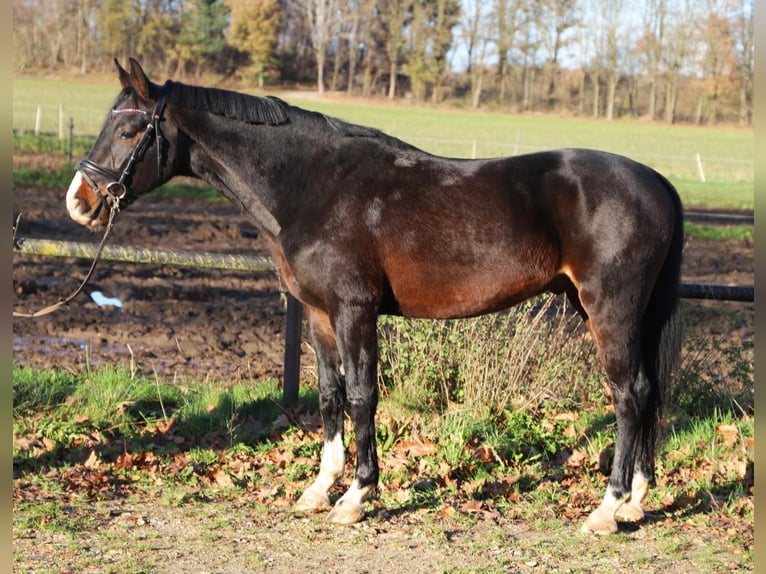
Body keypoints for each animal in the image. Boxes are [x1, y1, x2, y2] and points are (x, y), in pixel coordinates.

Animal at [66, 58, 683, 535]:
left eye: (129, 133)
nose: (79, 201)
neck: (314, 186)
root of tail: (658, 181)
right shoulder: (318, 314)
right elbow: (328, 398)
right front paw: (319, 489)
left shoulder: (354, 311)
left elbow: (363, 397)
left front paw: (356, 497)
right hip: (619, 311)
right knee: (648, 391)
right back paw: (637, 502)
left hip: (609, 309)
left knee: (628, 396)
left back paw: (605, 510)